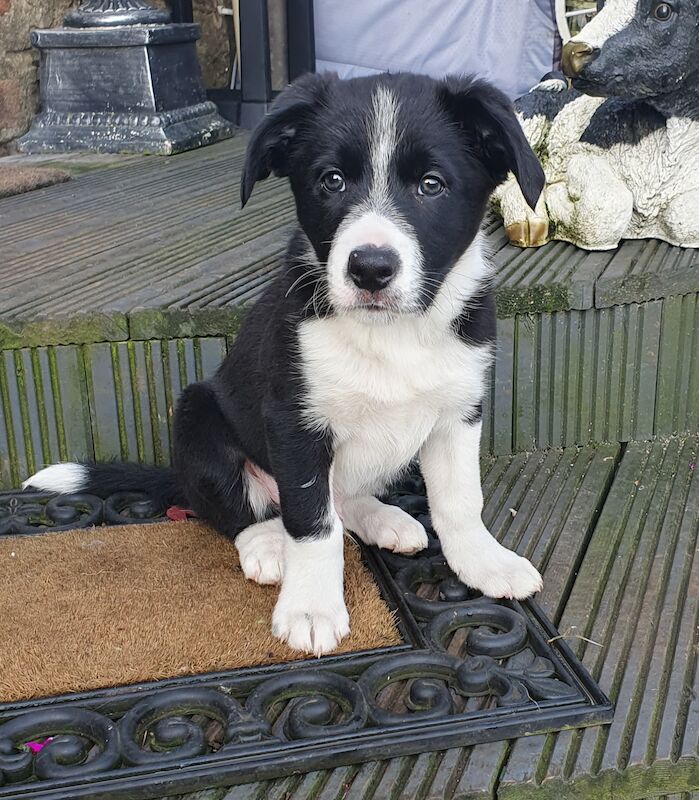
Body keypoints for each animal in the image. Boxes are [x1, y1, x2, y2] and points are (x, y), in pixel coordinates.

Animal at [26, 70, 548, 656]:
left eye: (432, 184)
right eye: (332, 181)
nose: (370, 268)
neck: (391, 334)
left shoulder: (459, 411)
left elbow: (460, 500)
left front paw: (484, 563)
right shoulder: (293, 423)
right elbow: (311, 522)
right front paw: (311, 608)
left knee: (342, 497)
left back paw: (381, 518)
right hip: (198, 415)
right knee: (239, 508)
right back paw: (266, 544)